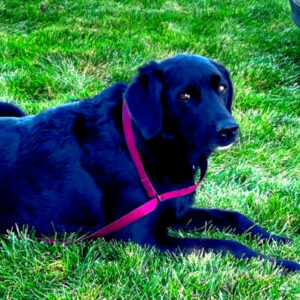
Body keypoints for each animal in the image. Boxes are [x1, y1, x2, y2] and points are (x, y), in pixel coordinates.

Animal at [0, 54, 298, 272]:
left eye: (221, 88)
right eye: (185, 96)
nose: (230, 129)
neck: (145, 146)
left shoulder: (173, 211)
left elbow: (233, 216)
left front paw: (275, 239)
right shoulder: (144, 239)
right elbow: (227, 245)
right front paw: (283, 263)